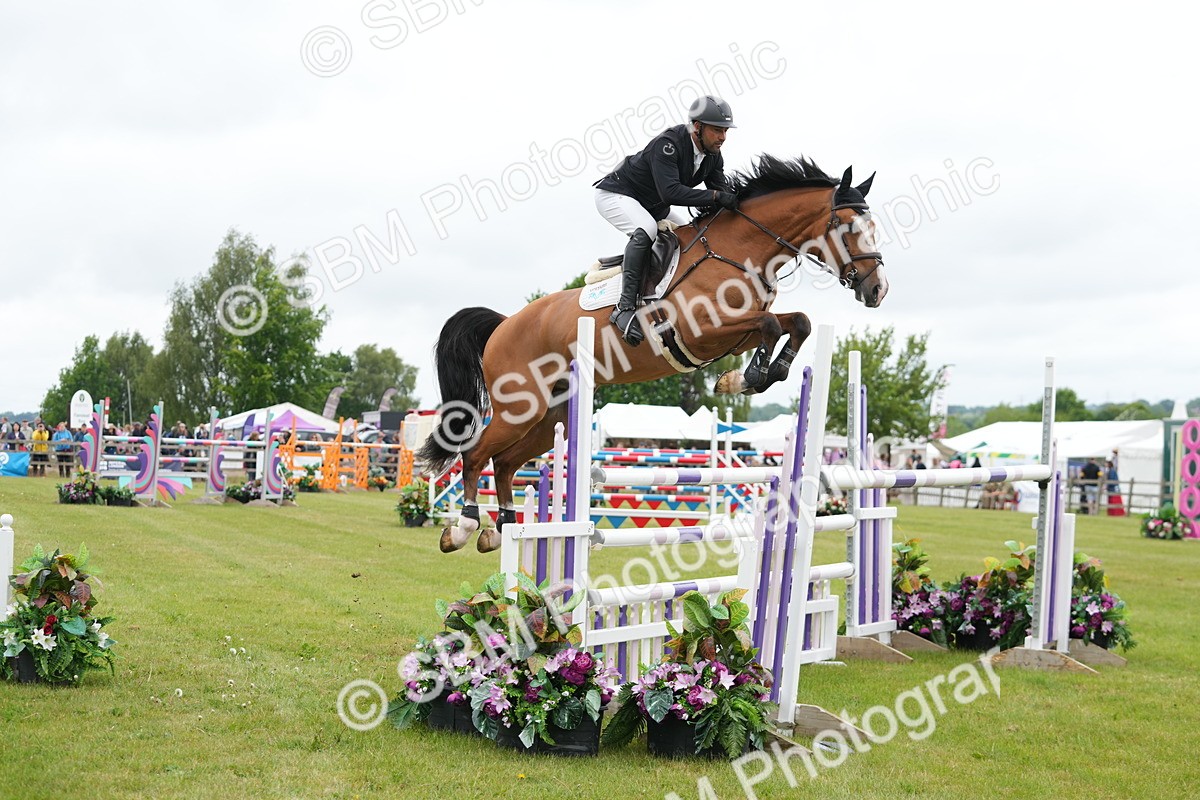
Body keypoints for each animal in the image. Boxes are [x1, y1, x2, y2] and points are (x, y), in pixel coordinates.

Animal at [418, 155, 888, 554]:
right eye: (848, 227)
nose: (878, 290)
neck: (740, 251)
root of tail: (503, 324)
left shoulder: (736, 334)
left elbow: (798, 322)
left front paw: (747, 377)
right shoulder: (708, 332)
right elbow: (772, 325)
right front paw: (747, 378)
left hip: (549, 415)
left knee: (504, 461)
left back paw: (502, 528)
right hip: (521, 405)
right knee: (476, 453)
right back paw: (463, 527)